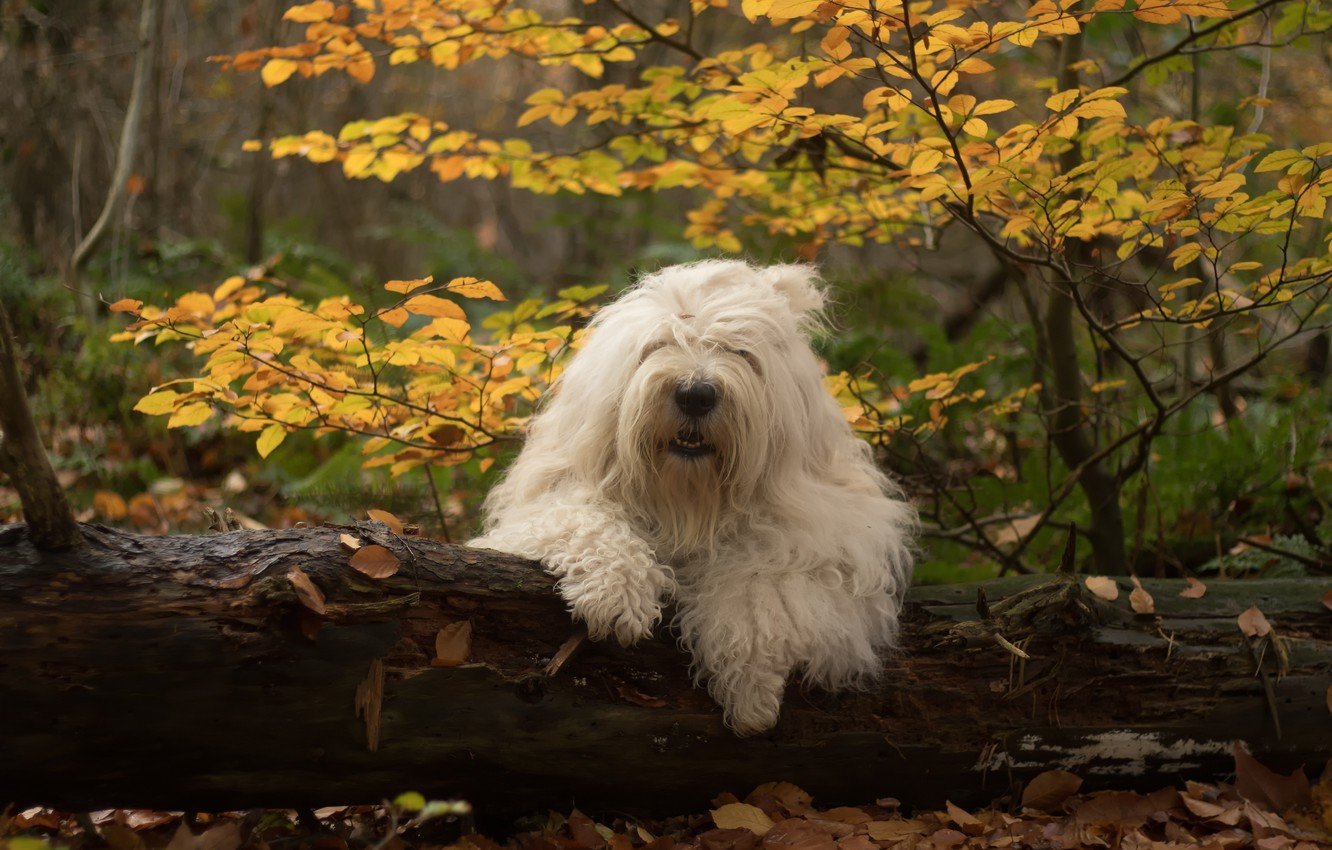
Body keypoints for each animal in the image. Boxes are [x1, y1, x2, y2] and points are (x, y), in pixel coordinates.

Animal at [474, 263, 921, 735]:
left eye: (741, 352)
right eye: (659, 344)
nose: (695, 394)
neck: (687, 501)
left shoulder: (835, 539)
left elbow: (763, 578)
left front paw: (751, 688)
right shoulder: (548, 502)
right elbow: (581, 521)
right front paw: (617, 597)